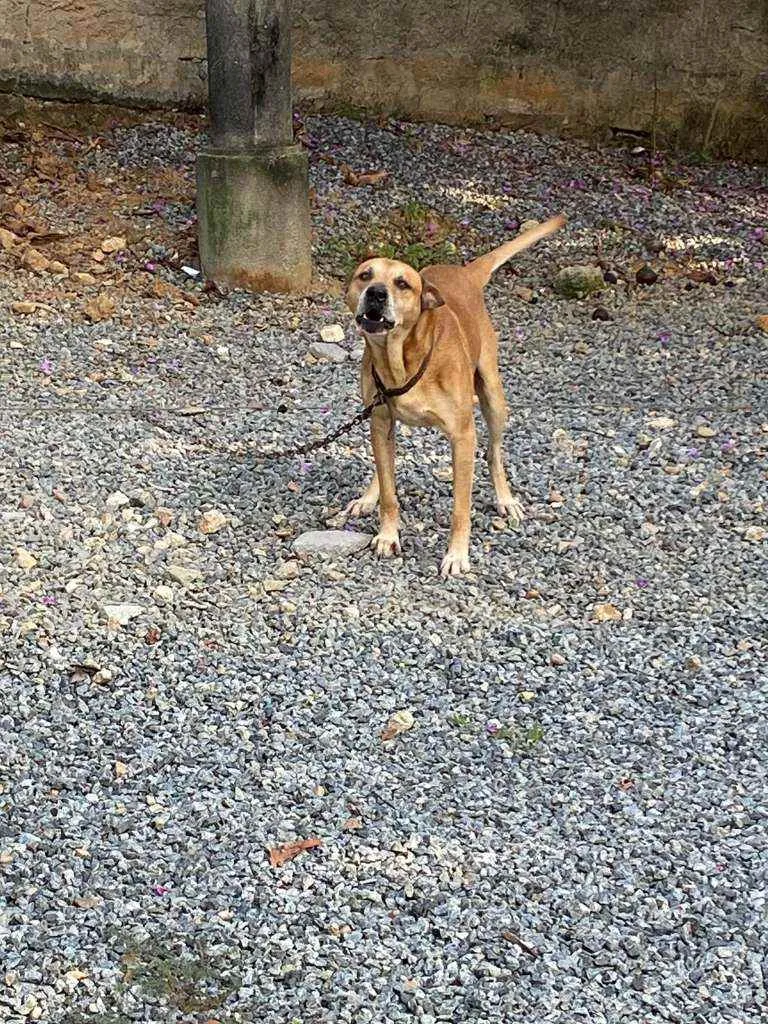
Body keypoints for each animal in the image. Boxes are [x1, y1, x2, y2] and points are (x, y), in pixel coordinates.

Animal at [345, 214, 566, 577]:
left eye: (402, 284)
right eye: (365, 275)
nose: (376, 293)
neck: (405, 359)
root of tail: (464, 272)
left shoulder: (463, 437)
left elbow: (461, 507)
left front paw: (457, 555)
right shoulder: (378, 418)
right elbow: (390, 491)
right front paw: (388, 534)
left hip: (494, 399)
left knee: (493, 453)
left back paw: (505, 499)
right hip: (382, 426)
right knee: (384, 462)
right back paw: (369, 495)